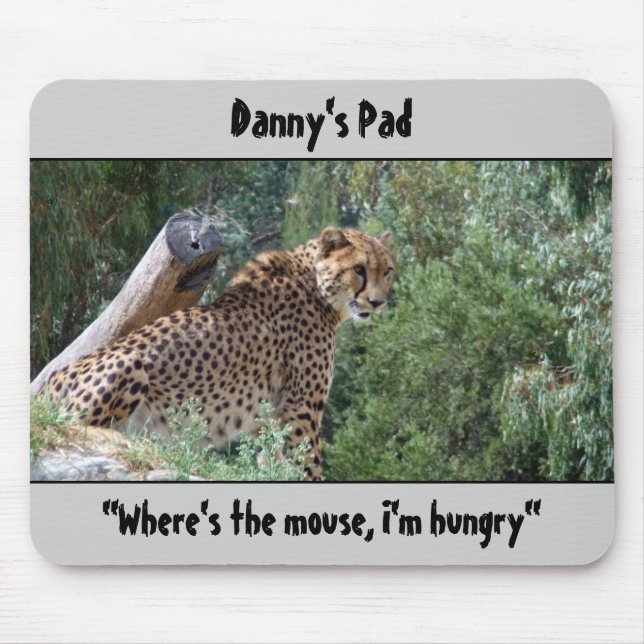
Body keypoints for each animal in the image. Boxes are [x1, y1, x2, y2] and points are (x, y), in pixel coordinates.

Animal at [44, 227, 395, 480]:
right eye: (359, 270)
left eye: (387, 271)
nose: (377, 302)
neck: (317, 288)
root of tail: (49, 382)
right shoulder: (301, 408)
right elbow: (305, 463)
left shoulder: (266, 415)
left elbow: (271, 460)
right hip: (129, 364)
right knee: (76, 427)